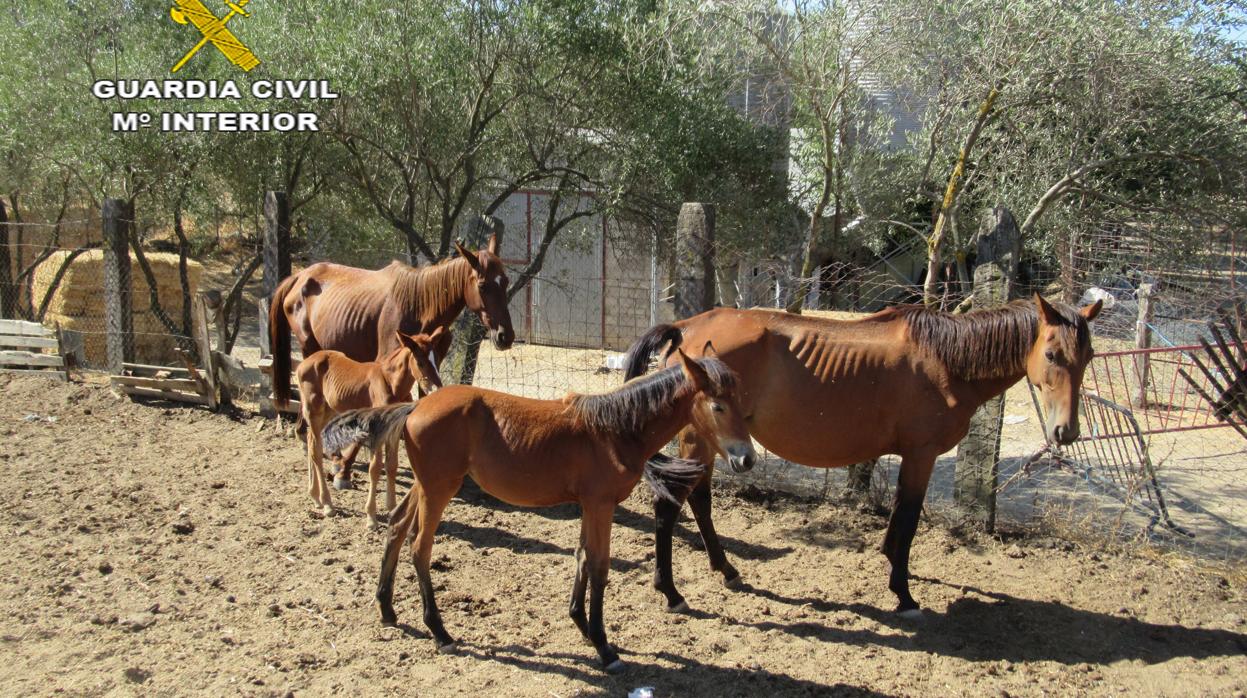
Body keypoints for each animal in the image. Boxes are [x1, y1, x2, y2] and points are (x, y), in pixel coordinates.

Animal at [269, 234, 516, 408]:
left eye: (506, 281)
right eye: (482, 285)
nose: (506, 336)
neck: (420, 306)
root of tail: (299, 276)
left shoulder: (427, 367)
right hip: (308, 347)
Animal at [319, 349, 758, 673]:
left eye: (742, 404)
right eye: (718, 406)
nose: (747, 459)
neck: (615, 430)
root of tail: (414, 408)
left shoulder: (588, 505)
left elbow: (581, 557)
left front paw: (581, 625)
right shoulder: (600, 505)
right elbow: (599, 565)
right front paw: (604, 646)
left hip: (427, 487)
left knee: (395, 527)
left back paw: (387, 610)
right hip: (439, 489)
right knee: (419, 548)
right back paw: (440, 632)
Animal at [623, 292, 1102, 615]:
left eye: (1089, 356)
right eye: (1052, 354)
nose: (1066, 431)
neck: (944, 359)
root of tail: (687, 328)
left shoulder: (911, 456)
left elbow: (899, 516)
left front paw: (890, 562)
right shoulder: (922, 454)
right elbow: (909, 519)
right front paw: (904, 593)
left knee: (700, 502)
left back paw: (725, 568)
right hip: (698, 440)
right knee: (671, 506)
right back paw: (671, 592)